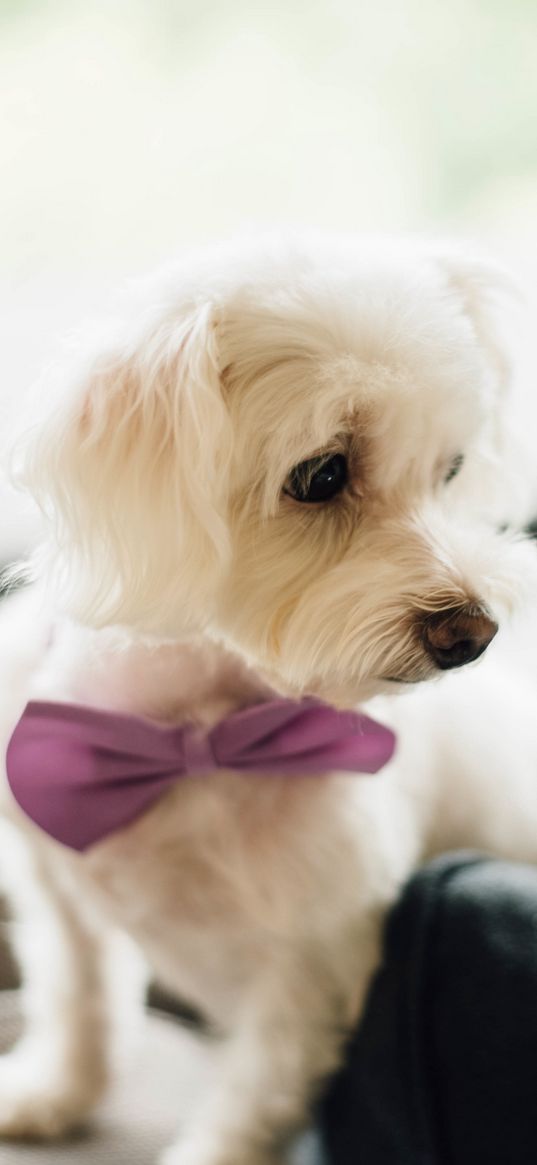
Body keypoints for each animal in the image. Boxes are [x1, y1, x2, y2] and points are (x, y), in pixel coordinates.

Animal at [1, 229, 535, 1165]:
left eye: (450, 468)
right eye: (321, 474)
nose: (471, 632)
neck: (194, 735)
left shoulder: (309, 966)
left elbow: (255, 1088)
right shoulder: (54, 884)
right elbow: (78, 999)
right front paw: (54, 1089)